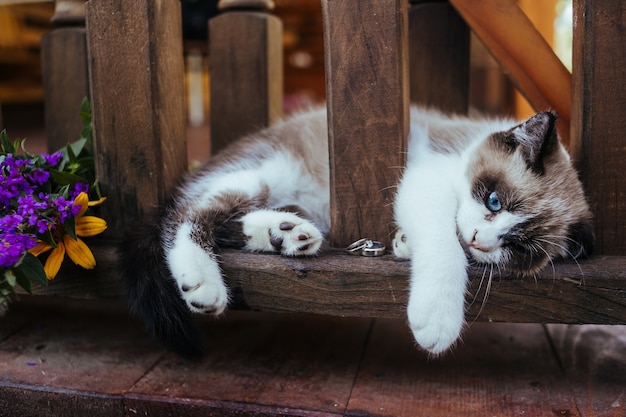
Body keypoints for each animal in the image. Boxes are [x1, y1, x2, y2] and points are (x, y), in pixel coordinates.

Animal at [119, 105, 592, 358]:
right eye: (494, 200)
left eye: (517, 247)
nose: (482, 240)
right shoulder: (425, 179)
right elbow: (445, 246)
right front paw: (436, 319)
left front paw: (403, 244)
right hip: (269, 171)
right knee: (187, 213)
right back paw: (203, 281)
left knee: (230, 221)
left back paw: (285, 234)